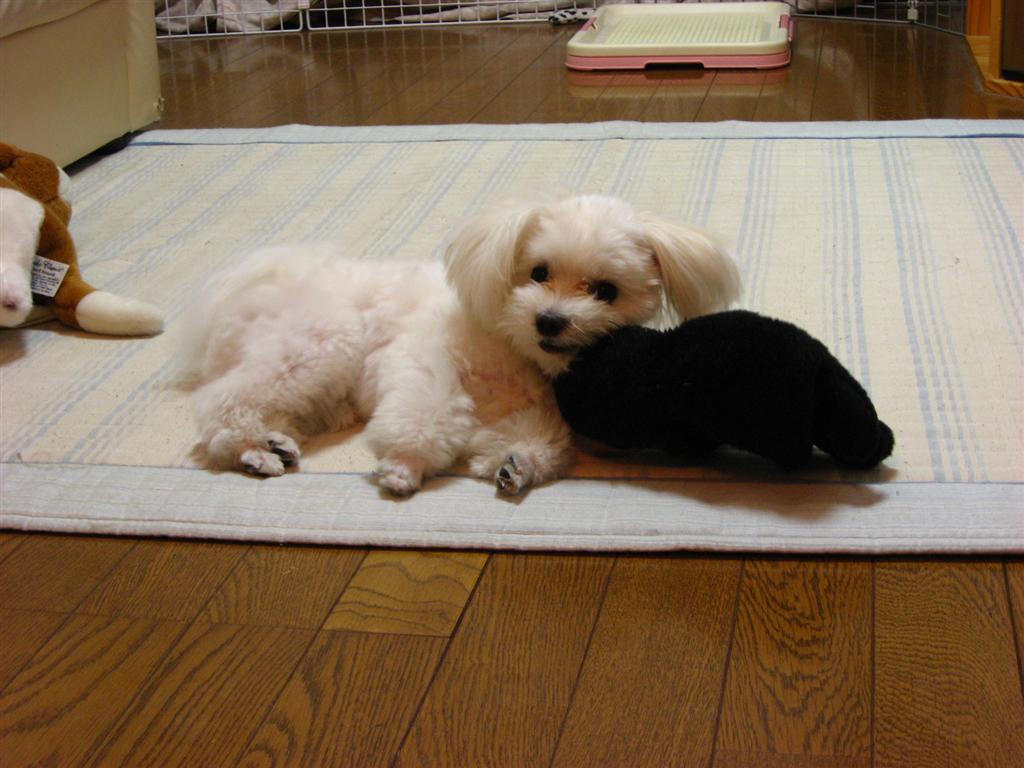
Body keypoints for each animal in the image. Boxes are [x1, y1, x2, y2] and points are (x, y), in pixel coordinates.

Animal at [184, 194, 740, 496]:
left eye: (606, 291)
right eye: (538, 272)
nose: (550, 320)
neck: (513, 349)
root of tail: (264, 279)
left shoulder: (525, 410)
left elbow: (531, 441)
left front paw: (516, 467)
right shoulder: (426, 360)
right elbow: (426, 416)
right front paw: (404, 466)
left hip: (319, 381)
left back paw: (276, 442)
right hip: (319, 348)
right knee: (222, 402)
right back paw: (253, 452)